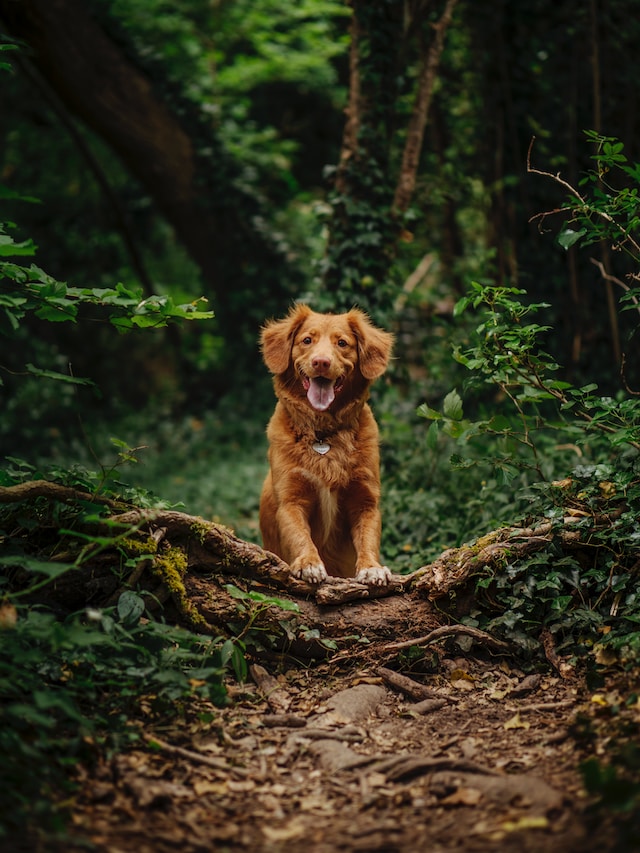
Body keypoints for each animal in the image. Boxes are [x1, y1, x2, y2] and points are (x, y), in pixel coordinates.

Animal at [258, 304, 390, 584]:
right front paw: (309, 563)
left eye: (342, 343)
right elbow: (300, 535)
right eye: (307, 340)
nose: (321, 362)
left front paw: (371, 567)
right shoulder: (291, 500)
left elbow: (368, 538)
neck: (323, 435)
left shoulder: (365, 500)